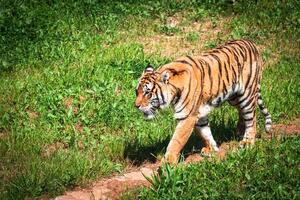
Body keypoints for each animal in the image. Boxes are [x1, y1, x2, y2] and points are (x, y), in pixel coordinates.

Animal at [135, 39, 270, 164]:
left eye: (148, 93)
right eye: (137, 91)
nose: (136, 106)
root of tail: (252, 43)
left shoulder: (187, 117)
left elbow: (176, 140)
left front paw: (168, 162)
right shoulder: (199, 114)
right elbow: (204, 132)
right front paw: (212, 149)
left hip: (246, 94)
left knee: (251, 118)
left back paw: (248, 142)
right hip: (234, 98)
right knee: (242, 112)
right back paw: (240, 131)